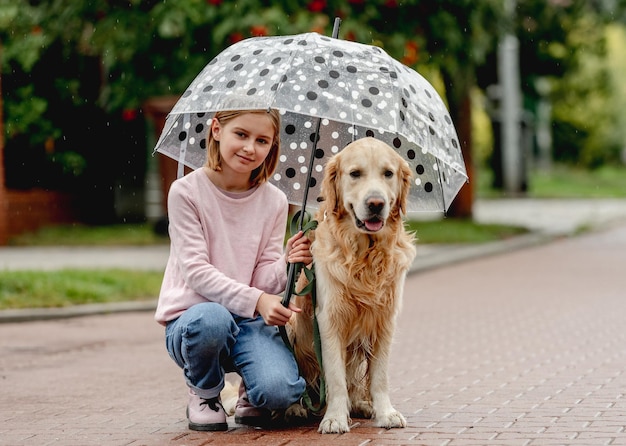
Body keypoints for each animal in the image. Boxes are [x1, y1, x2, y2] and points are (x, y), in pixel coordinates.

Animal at [286, 138, 414, 434]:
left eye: (388, 173)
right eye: (355, 173)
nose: (376, 203)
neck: (364, 255)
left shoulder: (385, 320)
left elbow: (379, 376)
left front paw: (385, 413)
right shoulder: (329, 319)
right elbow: (335, 376)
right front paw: (334, 418)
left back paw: (361, 405)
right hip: (287, 326)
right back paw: (295, 408)